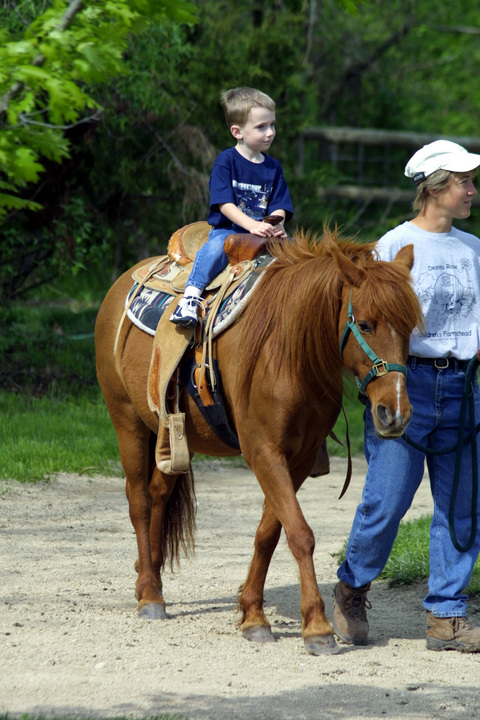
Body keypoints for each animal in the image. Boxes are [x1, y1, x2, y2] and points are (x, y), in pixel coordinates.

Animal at [95, 226, 422, 655]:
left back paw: (148, 581)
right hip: (127, 422)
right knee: (139, 501)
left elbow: (270, 533)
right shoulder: (263, 452)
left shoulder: (297, 458)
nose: (394, 412)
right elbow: (300, 533)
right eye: (365, 325)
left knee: (159, 495)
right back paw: (150, 595)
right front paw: (316, 627)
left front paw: (252, 614)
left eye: (411, 326)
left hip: (170, 436)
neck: (288, 351)